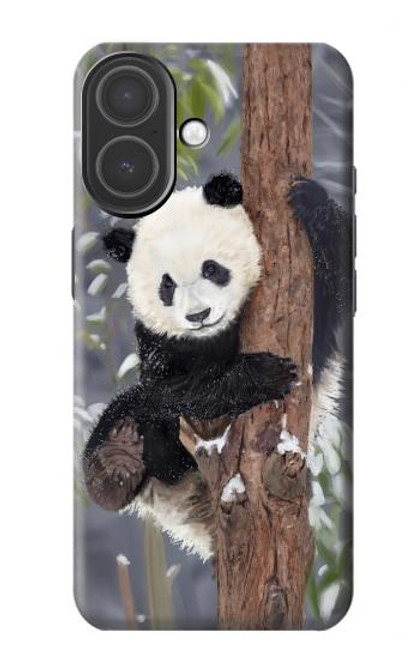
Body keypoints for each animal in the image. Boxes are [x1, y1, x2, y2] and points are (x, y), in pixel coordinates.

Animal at [83, 172, 351, 560]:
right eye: (166, 284)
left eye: (211, 268)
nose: (199, 315)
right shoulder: (156, 343)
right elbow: (175, 390)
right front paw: (264, 374)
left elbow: (341, 277)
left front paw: (308, 199)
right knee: (133, 413)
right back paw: (116, 462)